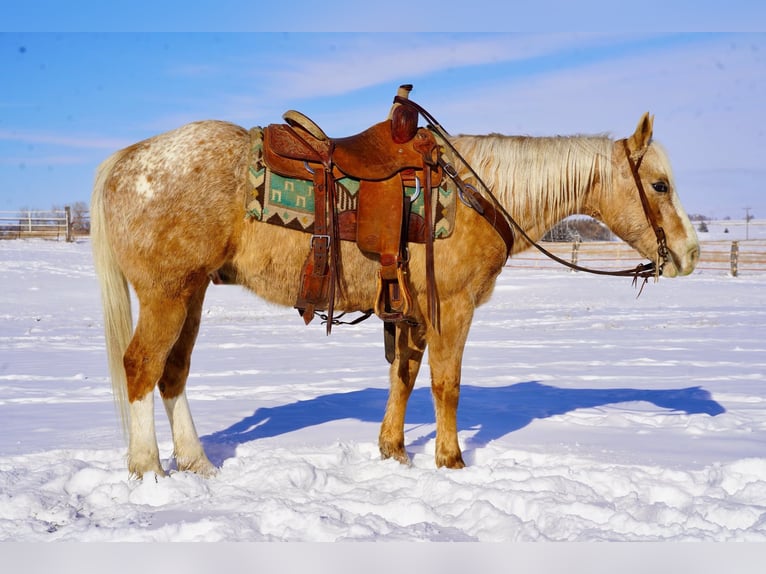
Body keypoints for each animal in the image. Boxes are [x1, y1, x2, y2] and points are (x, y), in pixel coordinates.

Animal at [90, 110, 704, 480]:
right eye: (659, 185)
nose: (691, 253)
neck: (478, 193)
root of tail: (128, 158)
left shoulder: (408, 313)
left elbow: (403, 378)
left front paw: (395, 451)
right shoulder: (450, 308)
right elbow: (445, 385)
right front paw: (450, 460)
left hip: (192, 293)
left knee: (173, 373)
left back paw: (196, 463)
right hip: (167, 294)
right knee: (142, 366)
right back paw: (148, 468)